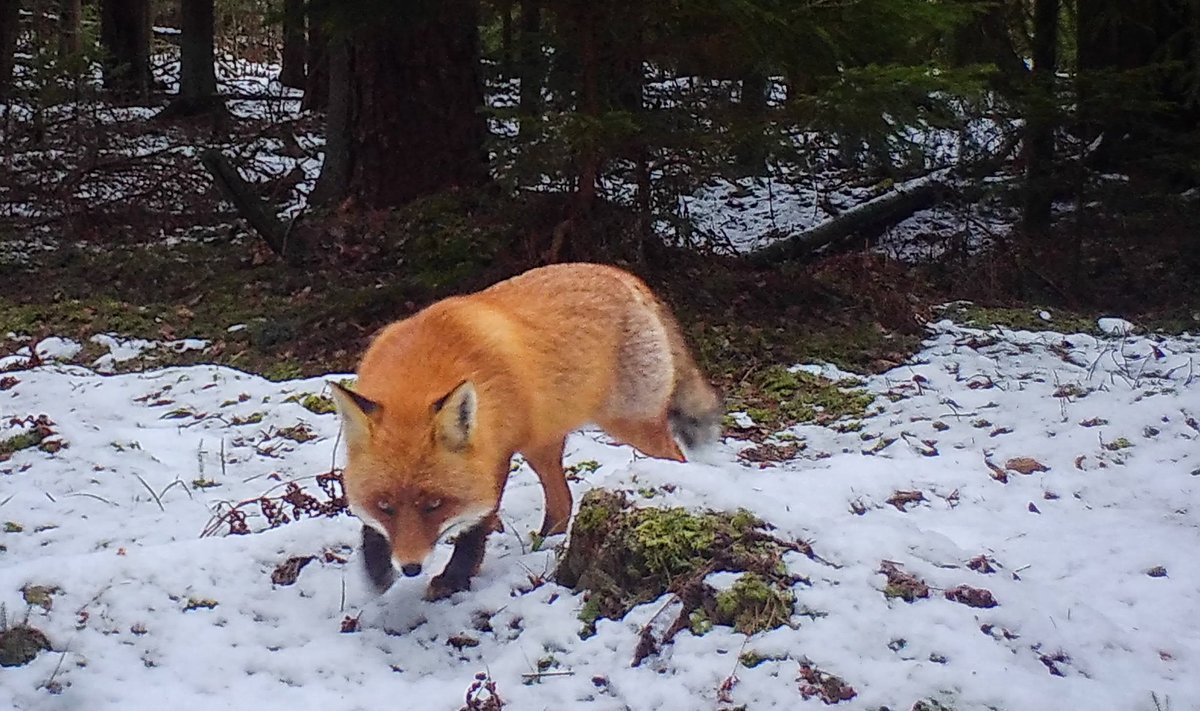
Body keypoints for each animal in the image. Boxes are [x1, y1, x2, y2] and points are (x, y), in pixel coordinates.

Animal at [328, 264, 715, 598]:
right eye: (385, 506)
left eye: (435, 505)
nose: (410, 567)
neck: (421, 371)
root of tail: (622, 274)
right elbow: (371, 529)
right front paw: (377, 568)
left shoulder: (495, 455)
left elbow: (476, 527)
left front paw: (454, 579)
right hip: (540, 446)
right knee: (563, 504)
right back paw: (545, 543)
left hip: (632, 425)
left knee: (675, 458)